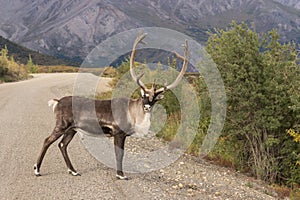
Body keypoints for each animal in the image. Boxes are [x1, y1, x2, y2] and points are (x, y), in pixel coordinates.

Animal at [32, 32, 188, 180]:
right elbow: (119, 154)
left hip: (72, 129)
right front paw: (121, 174)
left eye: (155, 99)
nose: (147, 107)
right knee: (47, 140)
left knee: (62, 145)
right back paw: (37, 169)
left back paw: (73, 171)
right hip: (62, 125)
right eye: (144, 95)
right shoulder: (118, 132)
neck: (133, 113)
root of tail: (57, 102)